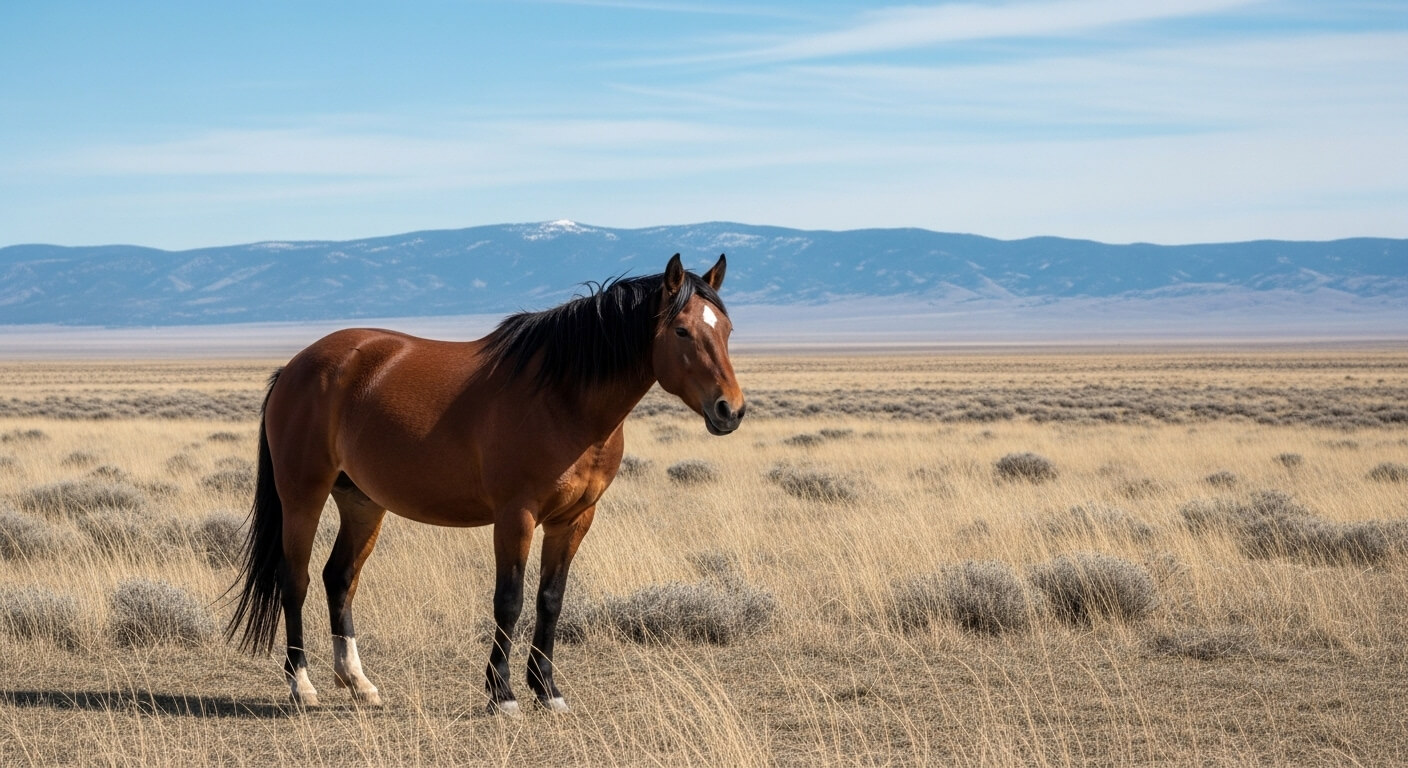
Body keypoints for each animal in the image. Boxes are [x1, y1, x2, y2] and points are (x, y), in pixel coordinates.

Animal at [225, 253, 743, 714]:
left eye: (727, 330)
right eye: (681, 330)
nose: (730, 410)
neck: (564, 400)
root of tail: (296, 366)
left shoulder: (574, 519)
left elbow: (551, 600)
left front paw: (547, 690)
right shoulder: (517, 515)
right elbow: (509, 601)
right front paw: (502, 693)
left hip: (362, 502)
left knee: (340, 578)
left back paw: (358, 683)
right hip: (303, 497)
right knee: (295, 580)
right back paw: (302, 686)